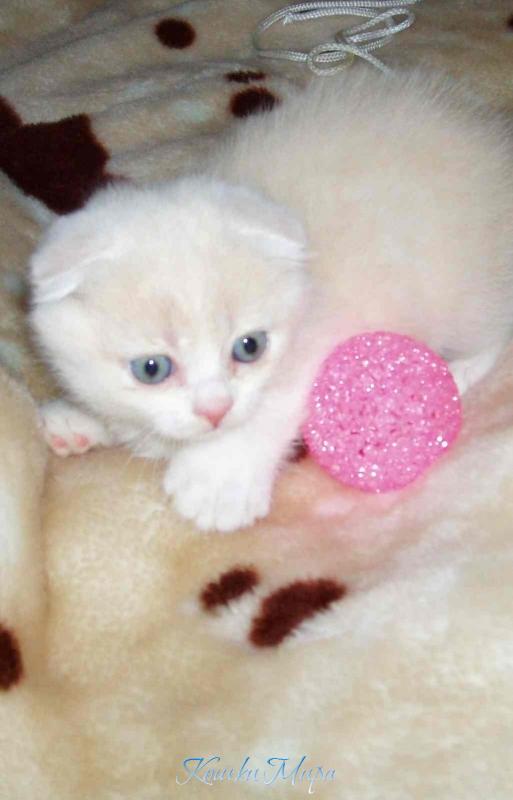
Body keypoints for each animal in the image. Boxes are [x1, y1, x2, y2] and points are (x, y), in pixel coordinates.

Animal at [29, 69, 513, 532]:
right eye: (152, 369)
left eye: (249, 347)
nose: (215, 411)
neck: (307, 283)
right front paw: (81, 418)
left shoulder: (335, 327)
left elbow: (275, 403)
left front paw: (218, 480)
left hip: (466, 281)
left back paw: (459, 371)